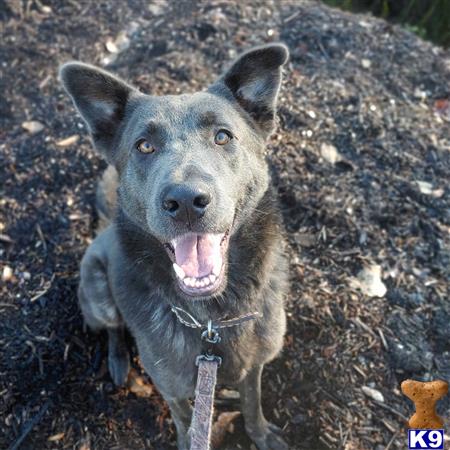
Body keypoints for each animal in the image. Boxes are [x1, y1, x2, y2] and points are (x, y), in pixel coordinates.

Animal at [59, 43, 290, 450]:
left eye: (222, 137)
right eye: (144, 145)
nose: (184, 201)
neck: (212, 318)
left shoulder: (255, 367)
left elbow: (253, 401)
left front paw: (261, 433)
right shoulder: (172, 388)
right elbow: (185, 422)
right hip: (100, 296)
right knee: (113, 330)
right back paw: (119, 362)